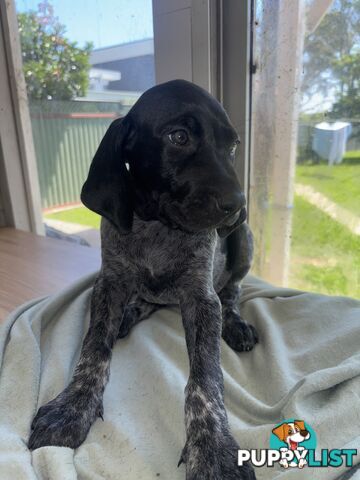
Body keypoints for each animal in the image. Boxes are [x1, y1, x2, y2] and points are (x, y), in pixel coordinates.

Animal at [29, 80, 258, 478]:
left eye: (232, 145)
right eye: (178, 136)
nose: (238, 204)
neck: (157, 225)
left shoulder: (201, 299)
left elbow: (205, 377)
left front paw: (212, 447)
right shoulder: (108, 283)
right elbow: (93, 349)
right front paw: (72, 406)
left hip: (243, 241)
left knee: (231, 290)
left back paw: (236, 322)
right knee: (147, 300)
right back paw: (130, 313)